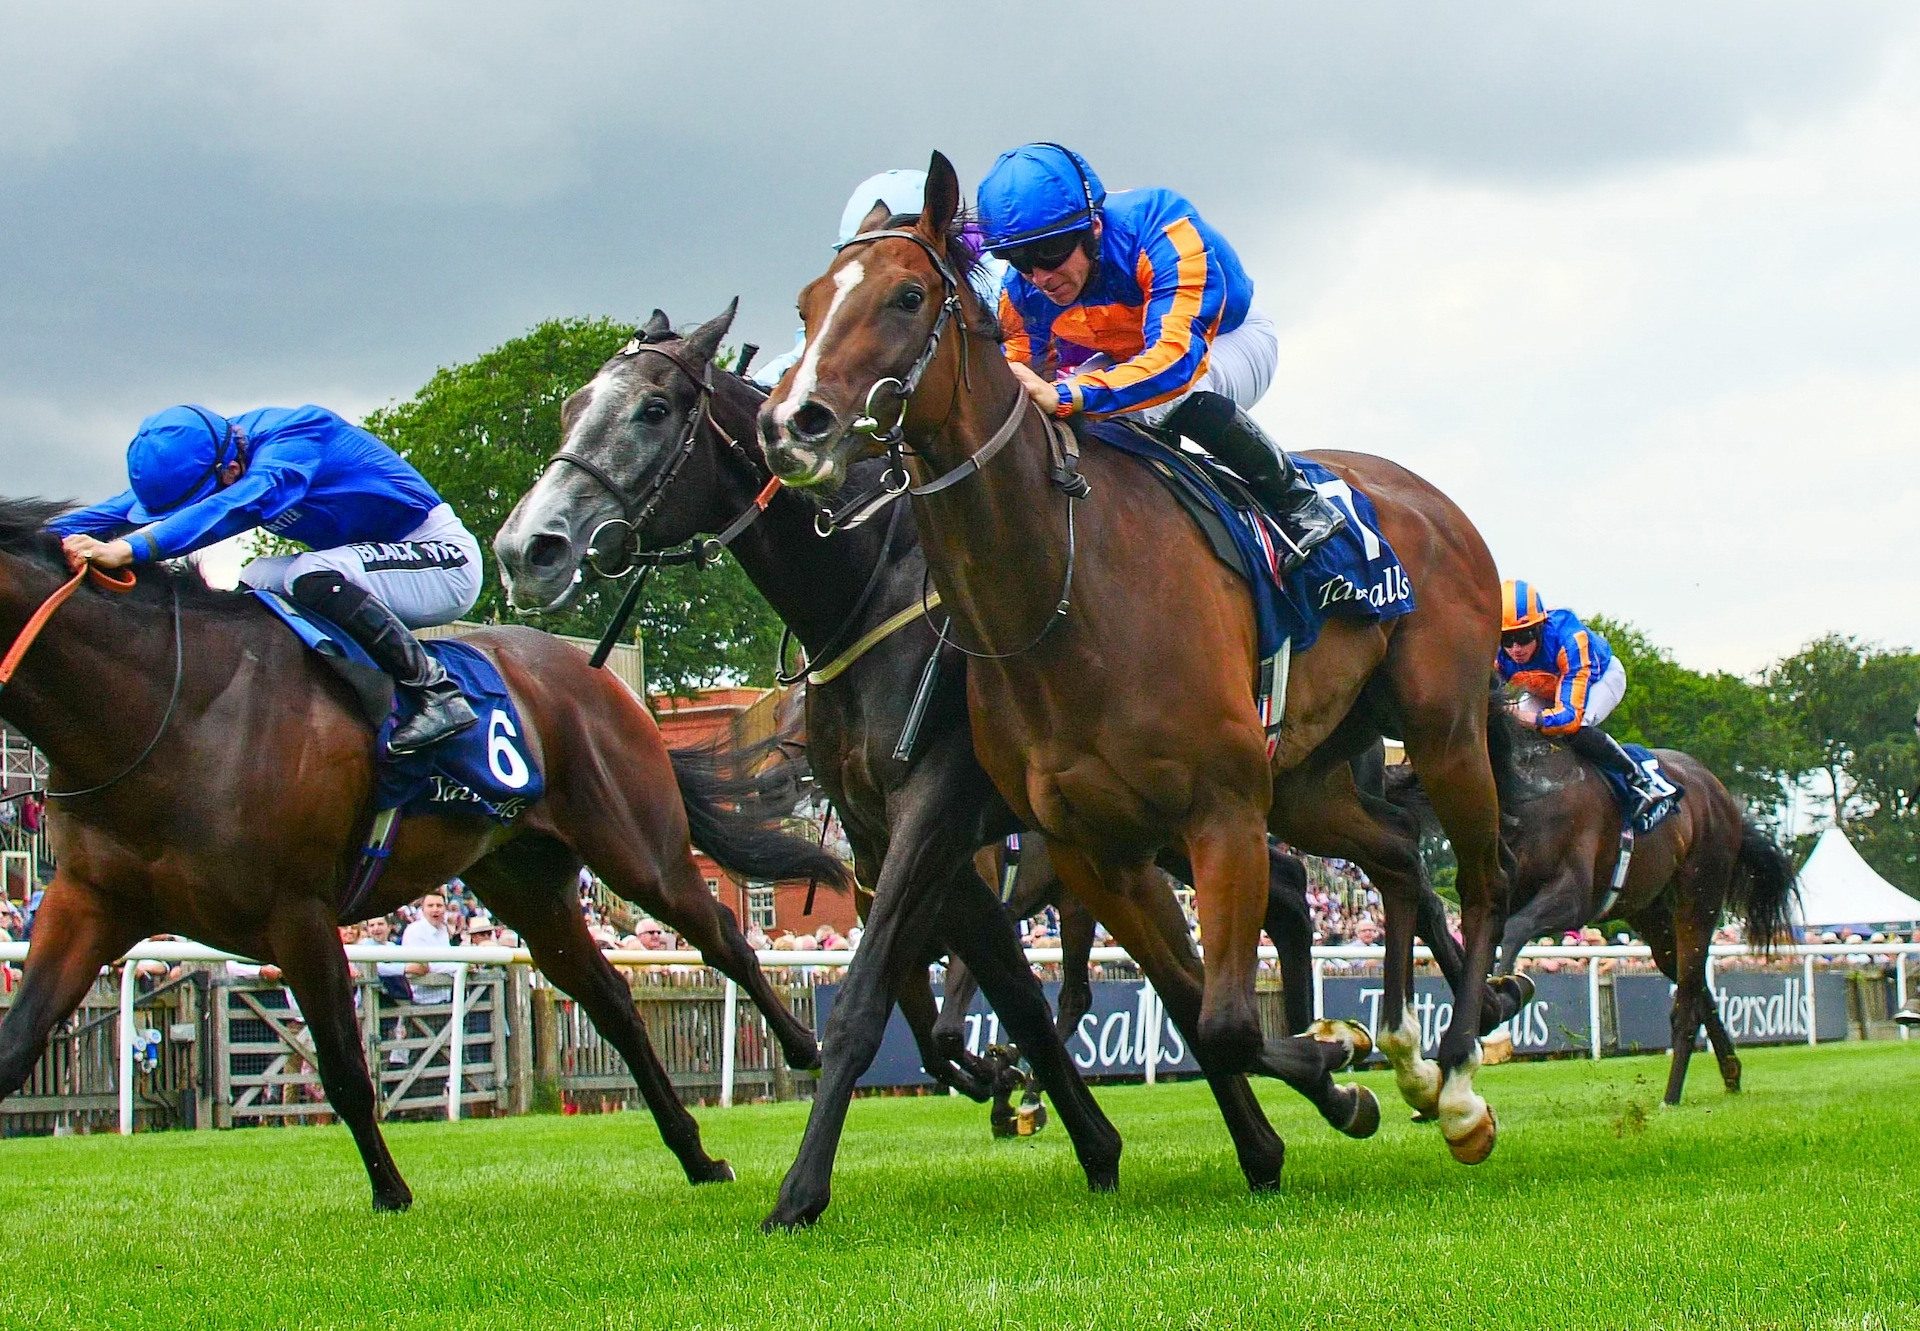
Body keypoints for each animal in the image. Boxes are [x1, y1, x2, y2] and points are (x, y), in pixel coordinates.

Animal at [0, 495, 848, 1206]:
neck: (173, 705)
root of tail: (601, 677)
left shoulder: (298, 913)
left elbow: (346, 1068)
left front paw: (391, 1193)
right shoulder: (88, 904)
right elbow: (16, 1042)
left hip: (640, 849)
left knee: (723, 936)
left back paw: (805, 1047)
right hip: (526, 884)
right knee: (613, 1002)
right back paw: (698, 1155)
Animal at [495, 309, 1390, 1221]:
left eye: (653, 408)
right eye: (570, 408)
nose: (528, 546)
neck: (871, 595)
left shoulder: (942, 812)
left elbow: (887, 1001)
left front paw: (809, 1186)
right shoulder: (908, 843)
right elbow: (1005, 1000)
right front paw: (1078, 1129)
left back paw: (1332, 1056)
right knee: (1268, 902)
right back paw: (1312, 1068)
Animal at [756, 152, 1520, 1160]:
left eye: (907, 296)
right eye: (807, 304)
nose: (790, 423)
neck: (1063, 600)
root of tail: (1434, 502)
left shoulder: (1222, 812)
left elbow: (1223, 1020)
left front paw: (1332, 1066)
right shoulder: (1090, 849)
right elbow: (1192, 1010)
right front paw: (1333, 1062)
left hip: (1440, 730)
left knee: (1481, 877)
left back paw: (1461, 1073)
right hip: (1309, 778)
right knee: (1397, 853)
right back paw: (1403, 1047)